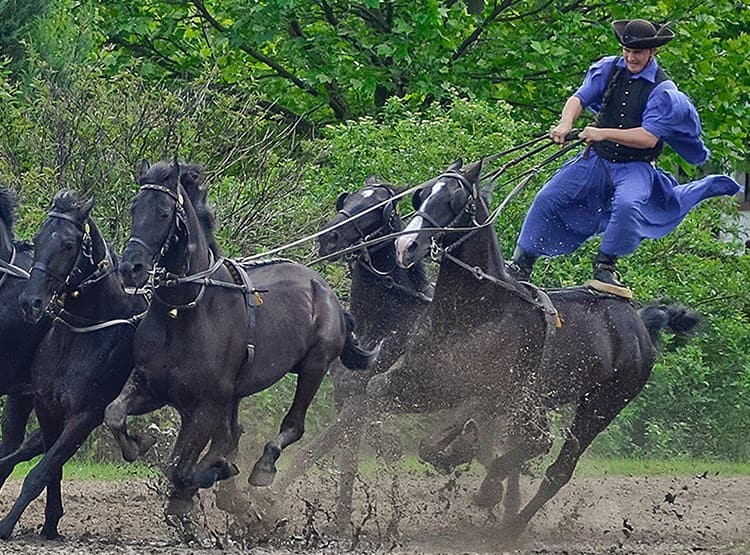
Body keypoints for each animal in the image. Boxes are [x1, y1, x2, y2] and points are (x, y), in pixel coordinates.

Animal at [0, 191, 148, 540]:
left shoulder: (85, 416)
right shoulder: (45, 405)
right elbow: (49, 466)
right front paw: (50, 522)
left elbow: (41, 471)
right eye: (38, 239)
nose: (31, 303)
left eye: (69, 244)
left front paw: (9, 525)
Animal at [104, 159, 382, 516]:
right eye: (134, 207)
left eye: (164, 213)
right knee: (230, 435)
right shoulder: (152, 386)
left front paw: (206, 479)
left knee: (292, 426)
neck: (183, 312)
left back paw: (262, 466)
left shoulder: (206, 405)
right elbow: (114, 414)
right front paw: (140, 444)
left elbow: (181, 467)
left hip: (314, 367)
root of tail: (324, 289)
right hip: (236, 394)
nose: (131, 268)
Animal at [368, 160, 704, 540]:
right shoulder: (420, 383)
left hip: (600, 405)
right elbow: (391, 410)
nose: (405, 246)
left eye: (454, 200)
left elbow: (488, 440)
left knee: (558, 466)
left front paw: (482, 480)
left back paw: (510, 524)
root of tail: (638, 322)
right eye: (421, 195)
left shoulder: (503, 396)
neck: (471, 314)